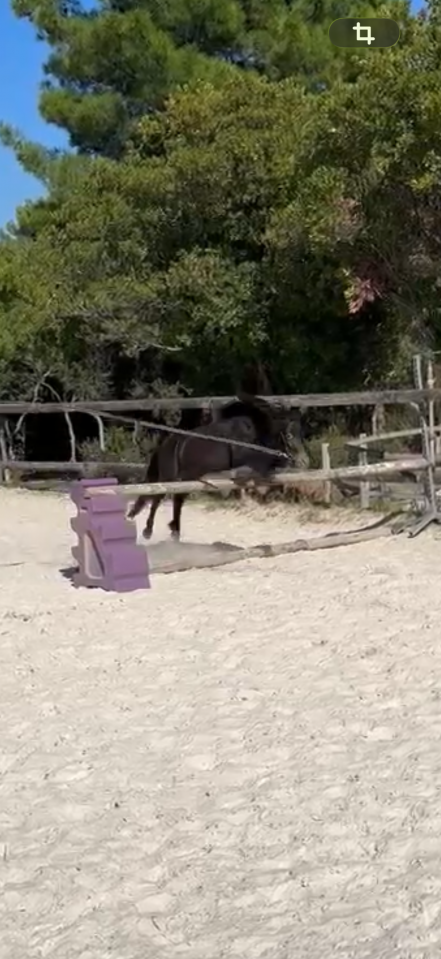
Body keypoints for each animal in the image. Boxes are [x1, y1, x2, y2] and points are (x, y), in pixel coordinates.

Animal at [127, 394, 291, 541]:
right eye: (283, 430)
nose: (287, 457)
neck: (248, 429)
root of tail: (164, 446)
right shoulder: (241, 456)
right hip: (170, 477)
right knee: (157, 499)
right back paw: (148, 530)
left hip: (188, 477)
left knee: (177, 499)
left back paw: (175, 531)